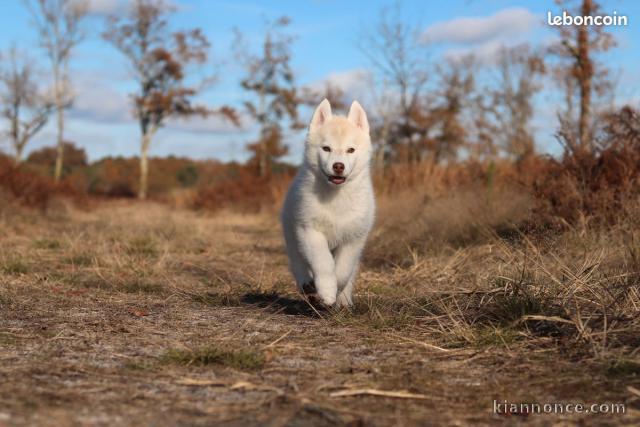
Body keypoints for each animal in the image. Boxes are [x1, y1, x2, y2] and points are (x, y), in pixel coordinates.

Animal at [280, 100, 376, 308]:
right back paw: (307, 284)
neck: (335, 196)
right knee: (298, 262)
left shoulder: (354, 238)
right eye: (326, 149)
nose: (338, 166)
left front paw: (336, 291)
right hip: (292, 233)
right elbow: (323, 262)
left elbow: (343, 270)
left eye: (350, 150)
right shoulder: (310, 230)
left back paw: (344, 301)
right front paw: (326, 291)